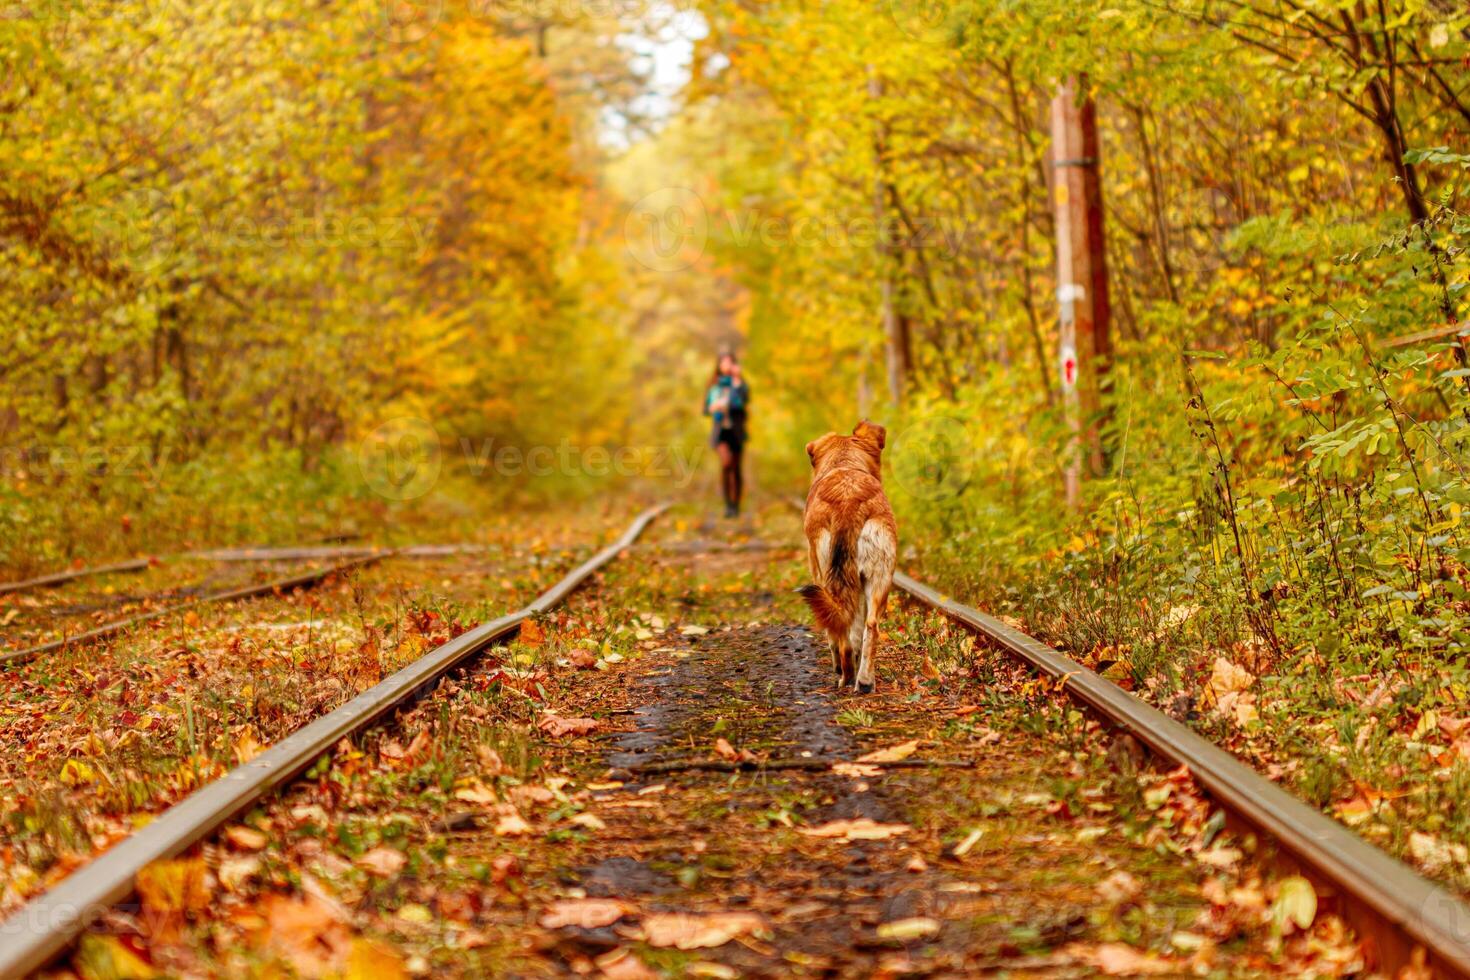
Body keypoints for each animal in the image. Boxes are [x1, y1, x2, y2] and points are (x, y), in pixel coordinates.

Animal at [799, 420, 899, 690]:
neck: (844, 463)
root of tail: (848, 501)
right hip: (879, 577)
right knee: (870, 626)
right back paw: (864, 680)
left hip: (829, 578)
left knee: (840, 633)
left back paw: (845, 674)